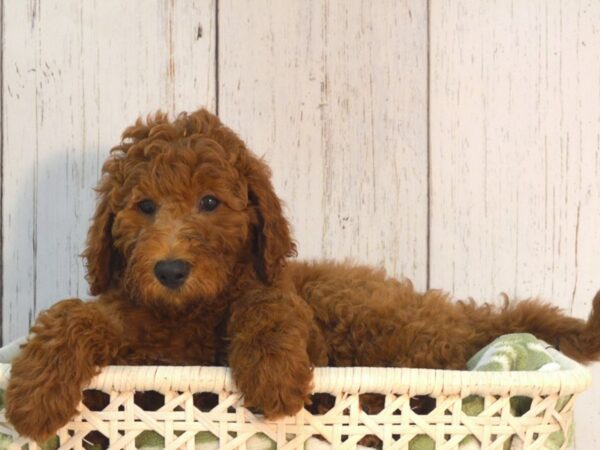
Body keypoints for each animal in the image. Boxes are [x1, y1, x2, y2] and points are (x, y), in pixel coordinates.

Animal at [4, 110, 600, 442]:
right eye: (144, 207)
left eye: (210, 202)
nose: (170, 269)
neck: (191, 310)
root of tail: (466, 318)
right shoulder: (136, 325)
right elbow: (73, 313)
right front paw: (33, 392)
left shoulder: (288, 306)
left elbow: (266, 302)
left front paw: (273, 374)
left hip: (360, 318)